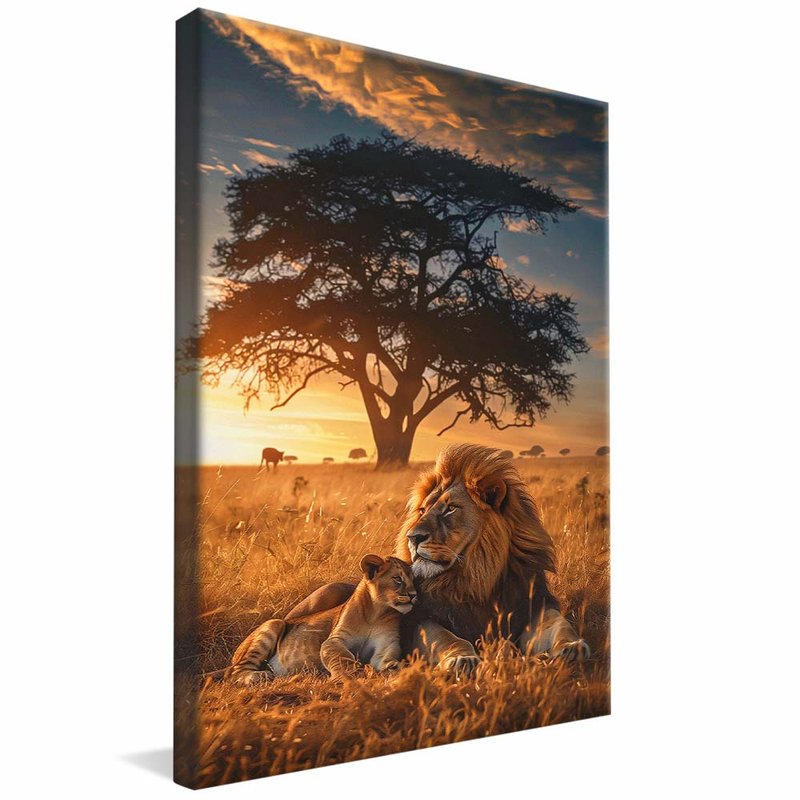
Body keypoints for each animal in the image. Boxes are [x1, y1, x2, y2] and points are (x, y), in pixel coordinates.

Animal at [227, 555, 417, 685]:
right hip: (274, 624)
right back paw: (258, 676)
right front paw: (352, 675)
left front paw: (396, 667)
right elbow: (342, 657)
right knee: (234, 672)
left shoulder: (386, 644)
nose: (414, 595)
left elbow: (385, 657)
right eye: (397, 579)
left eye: (414, 580)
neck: (377, 613)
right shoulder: (335, 639)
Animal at [283, 444, 589, 674]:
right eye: (422, 510)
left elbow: (559, 625)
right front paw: (462, 658)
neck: (475, 578)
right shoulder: (422, 620)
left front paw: (572, 647)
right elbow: (447, 638)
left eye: (450, 509)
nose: (413, 537)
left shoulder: (534, 605)